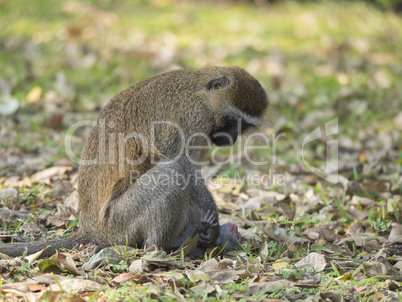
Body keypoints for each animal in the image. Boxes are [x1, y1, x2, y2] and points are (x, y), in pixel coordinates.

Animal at [0, 66, 270, 258]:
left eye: (243, 125)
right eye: (231, 119)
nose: (232, 137)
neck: (201, 92)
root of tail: (91, 229)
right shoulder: (193, 116)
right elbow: (180, 164)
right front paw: (211, 216)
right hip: (119, 223)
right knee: (170, 174)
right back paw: (162, 248)